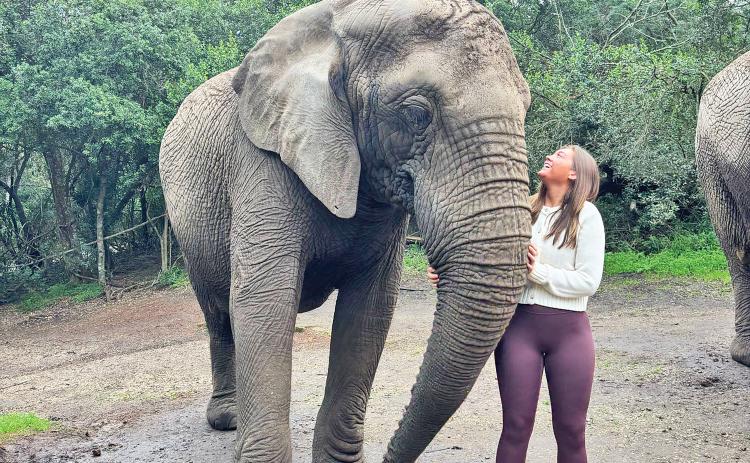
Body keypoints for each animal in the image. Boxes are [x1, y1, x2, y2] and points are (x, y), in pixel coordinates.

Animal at [159, 0, 531, 461]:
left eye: (527, 108)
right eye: (417, 113)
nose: (389, 454)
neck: (341, 23)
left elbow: (369, 310)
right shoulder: (261, 160)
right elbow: (263, 301)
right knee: (217, 311)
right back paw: (227, 419)